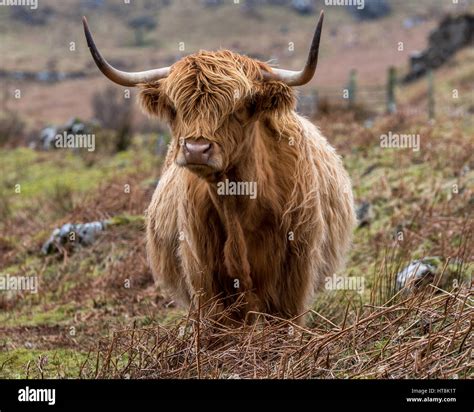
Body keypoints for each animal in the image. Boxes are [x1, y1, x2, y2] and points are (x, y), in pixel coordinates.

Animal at [83, 11, 356, 324]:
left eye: (239, 107)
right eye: (176, 108)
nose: (196, 149)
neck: (238, 204)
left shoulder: (294, 276)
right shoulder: (204, 275)